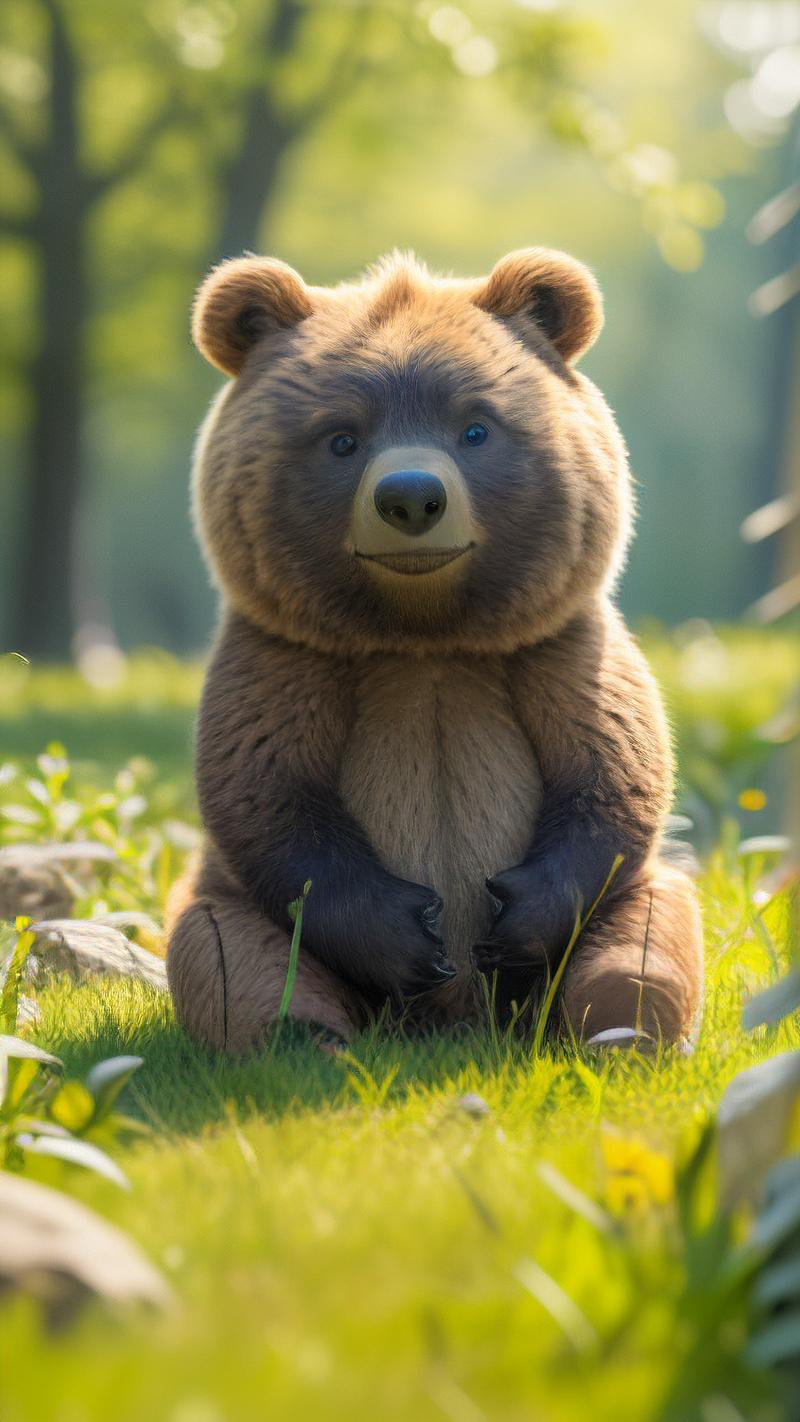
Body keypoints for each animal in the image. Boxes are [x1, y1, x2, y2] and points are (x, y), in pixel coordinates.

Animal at [166, 247, 704, 1053]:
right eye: (343, 436)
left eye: (475, 427)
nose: (411, 497)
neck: (426, 635)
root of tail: (461, 1025)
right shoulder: (287, 660)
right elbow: (269, 796)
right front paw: (415, 935)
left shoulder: (558, 650)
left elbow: (611, 774)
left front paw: (507, 919)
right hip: (231, 903)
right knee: (229, 954)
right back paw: (304, 1037)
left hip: (634, 904)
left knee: (642, 946)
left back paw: (618, 1037)